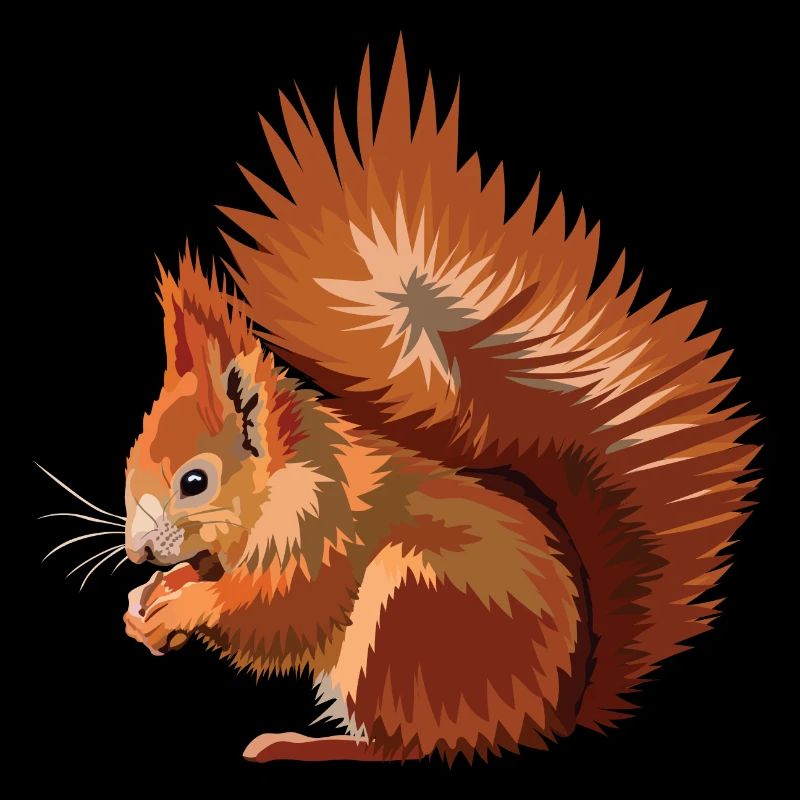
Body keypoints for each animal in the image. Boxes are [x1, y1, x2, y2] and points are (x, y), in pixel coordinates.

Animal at [117, 42, 758, 764]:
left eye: (195, 481)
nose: (137, 553)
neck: (281, 482)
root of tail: (552, 716)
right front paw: (149, 601)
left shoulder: (323, 530)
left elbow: (278, 613)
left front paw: (181, 607)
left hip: (410, 618)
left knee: (405, 747)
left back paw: (303, 745)